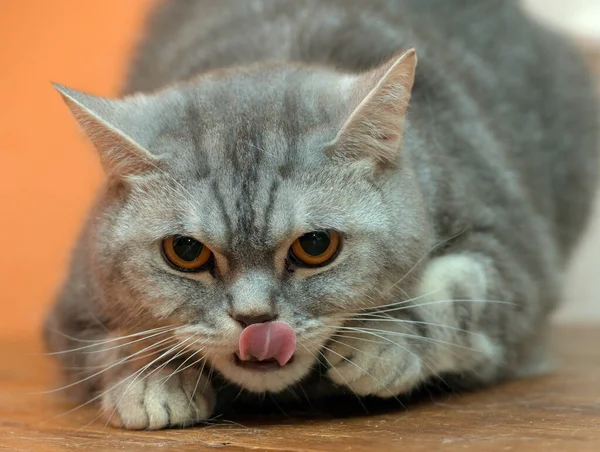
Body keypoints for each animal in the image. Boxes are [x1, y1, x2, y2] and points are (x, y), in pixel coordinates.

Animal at [43, 0, 596, 430]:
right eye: (185, 251)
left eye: (315, 247)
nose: (255, 321)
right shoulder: (70, 314)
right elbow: (109, 347)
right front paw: (150, 381)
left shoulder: (514, 261)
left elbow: (453, 293)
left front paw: (381, 344)